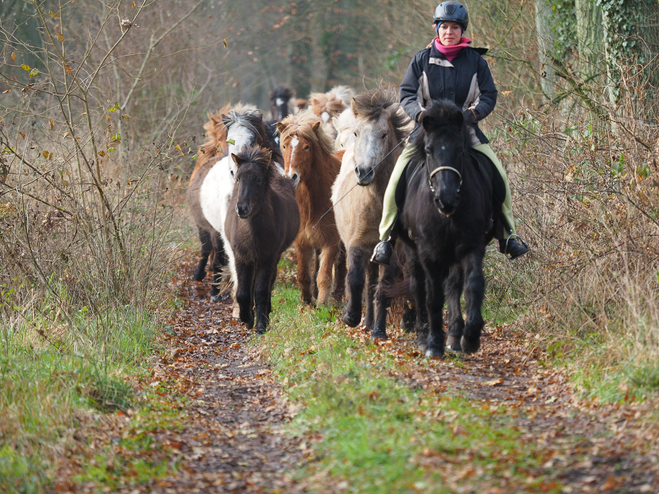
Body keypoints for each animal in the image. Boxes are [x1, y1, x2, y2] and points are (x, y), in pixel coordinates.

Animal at [226, 145, 300, 334]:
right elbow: (243, 292)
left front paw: (260, 325)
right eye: (238, 178)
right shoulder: (241, 258)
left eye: (258, 180)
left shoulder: (268, 258)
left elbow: (261, 291)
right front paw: (247, 319)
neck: (252, 233)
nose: (242, 209)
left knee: (268, 285)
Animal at [278, 111, 346, 304]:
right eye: (284, 146)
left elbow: (324, 275)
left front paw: (322, 303)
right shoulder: (302, 241)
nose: (291, 177)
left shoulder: (331, 241)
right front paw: (307, 300)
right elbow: (303, 275)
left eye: (307, 147)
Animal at [332, 87, 410, 330]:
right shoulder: (357, 244)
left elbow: (384, 287)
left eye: (384, 134)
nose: (364, 172)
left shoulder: (391, 253)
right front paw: (351, 316)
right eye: (357, 133)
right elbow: (356, 278)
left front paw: (380, 331)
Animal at [382, 100, 506, 356]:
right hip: (412, 250)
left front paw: (470, 337)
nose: (445, 199)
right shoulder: (428, 252)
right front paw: (434, 344)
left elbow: (473, 285)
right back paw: (423, 336)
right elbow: (432, 296)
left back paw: (455, 336)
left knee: (453, 285)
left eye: (460, 150)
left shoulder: (471, 246)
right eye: (429, 150)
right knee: (418, 287)